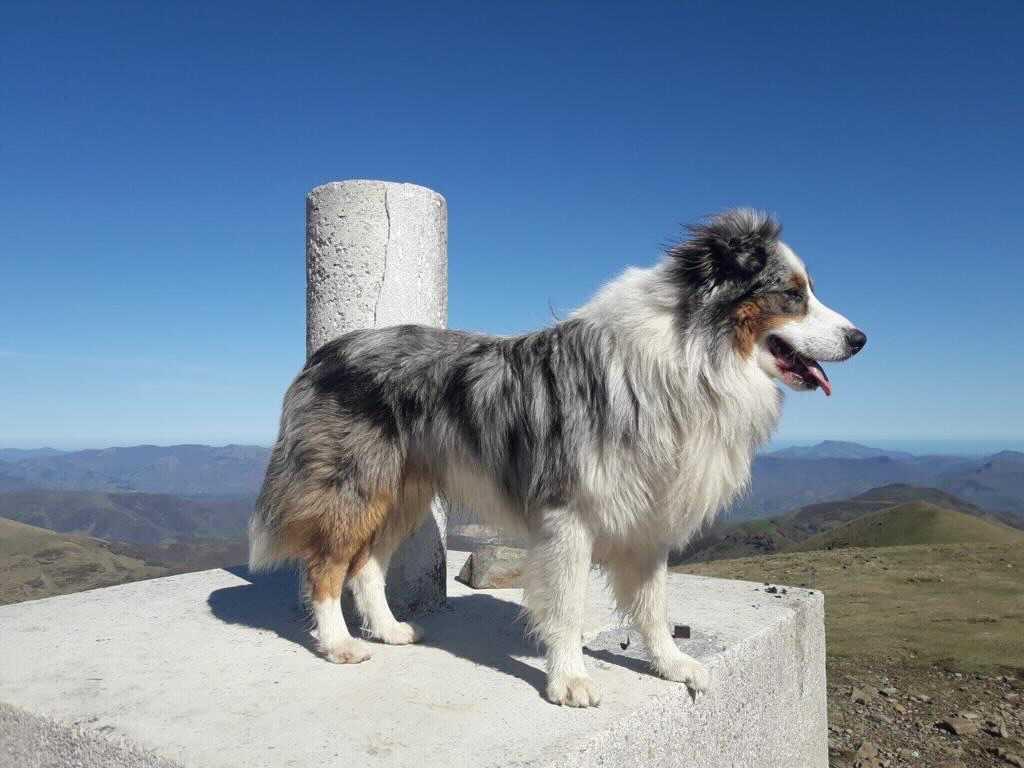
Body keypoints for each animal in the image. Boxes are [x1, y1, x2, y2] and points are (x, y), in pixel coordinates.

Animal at [247, 208, 864, 708]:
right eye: (793, 294)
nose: (860, 339)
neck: (691, 357)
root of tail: (325, 354)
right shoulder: (569, 514)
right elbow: (567, 607)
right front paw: (568, 680)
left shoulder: (651, 512)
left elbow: (654, 605)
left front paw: (670, 665)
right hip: (353, 484)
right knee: (326, 566)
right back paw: (339, 643)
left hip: (404, 492)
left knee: (367, 566)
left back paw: (389, 629)